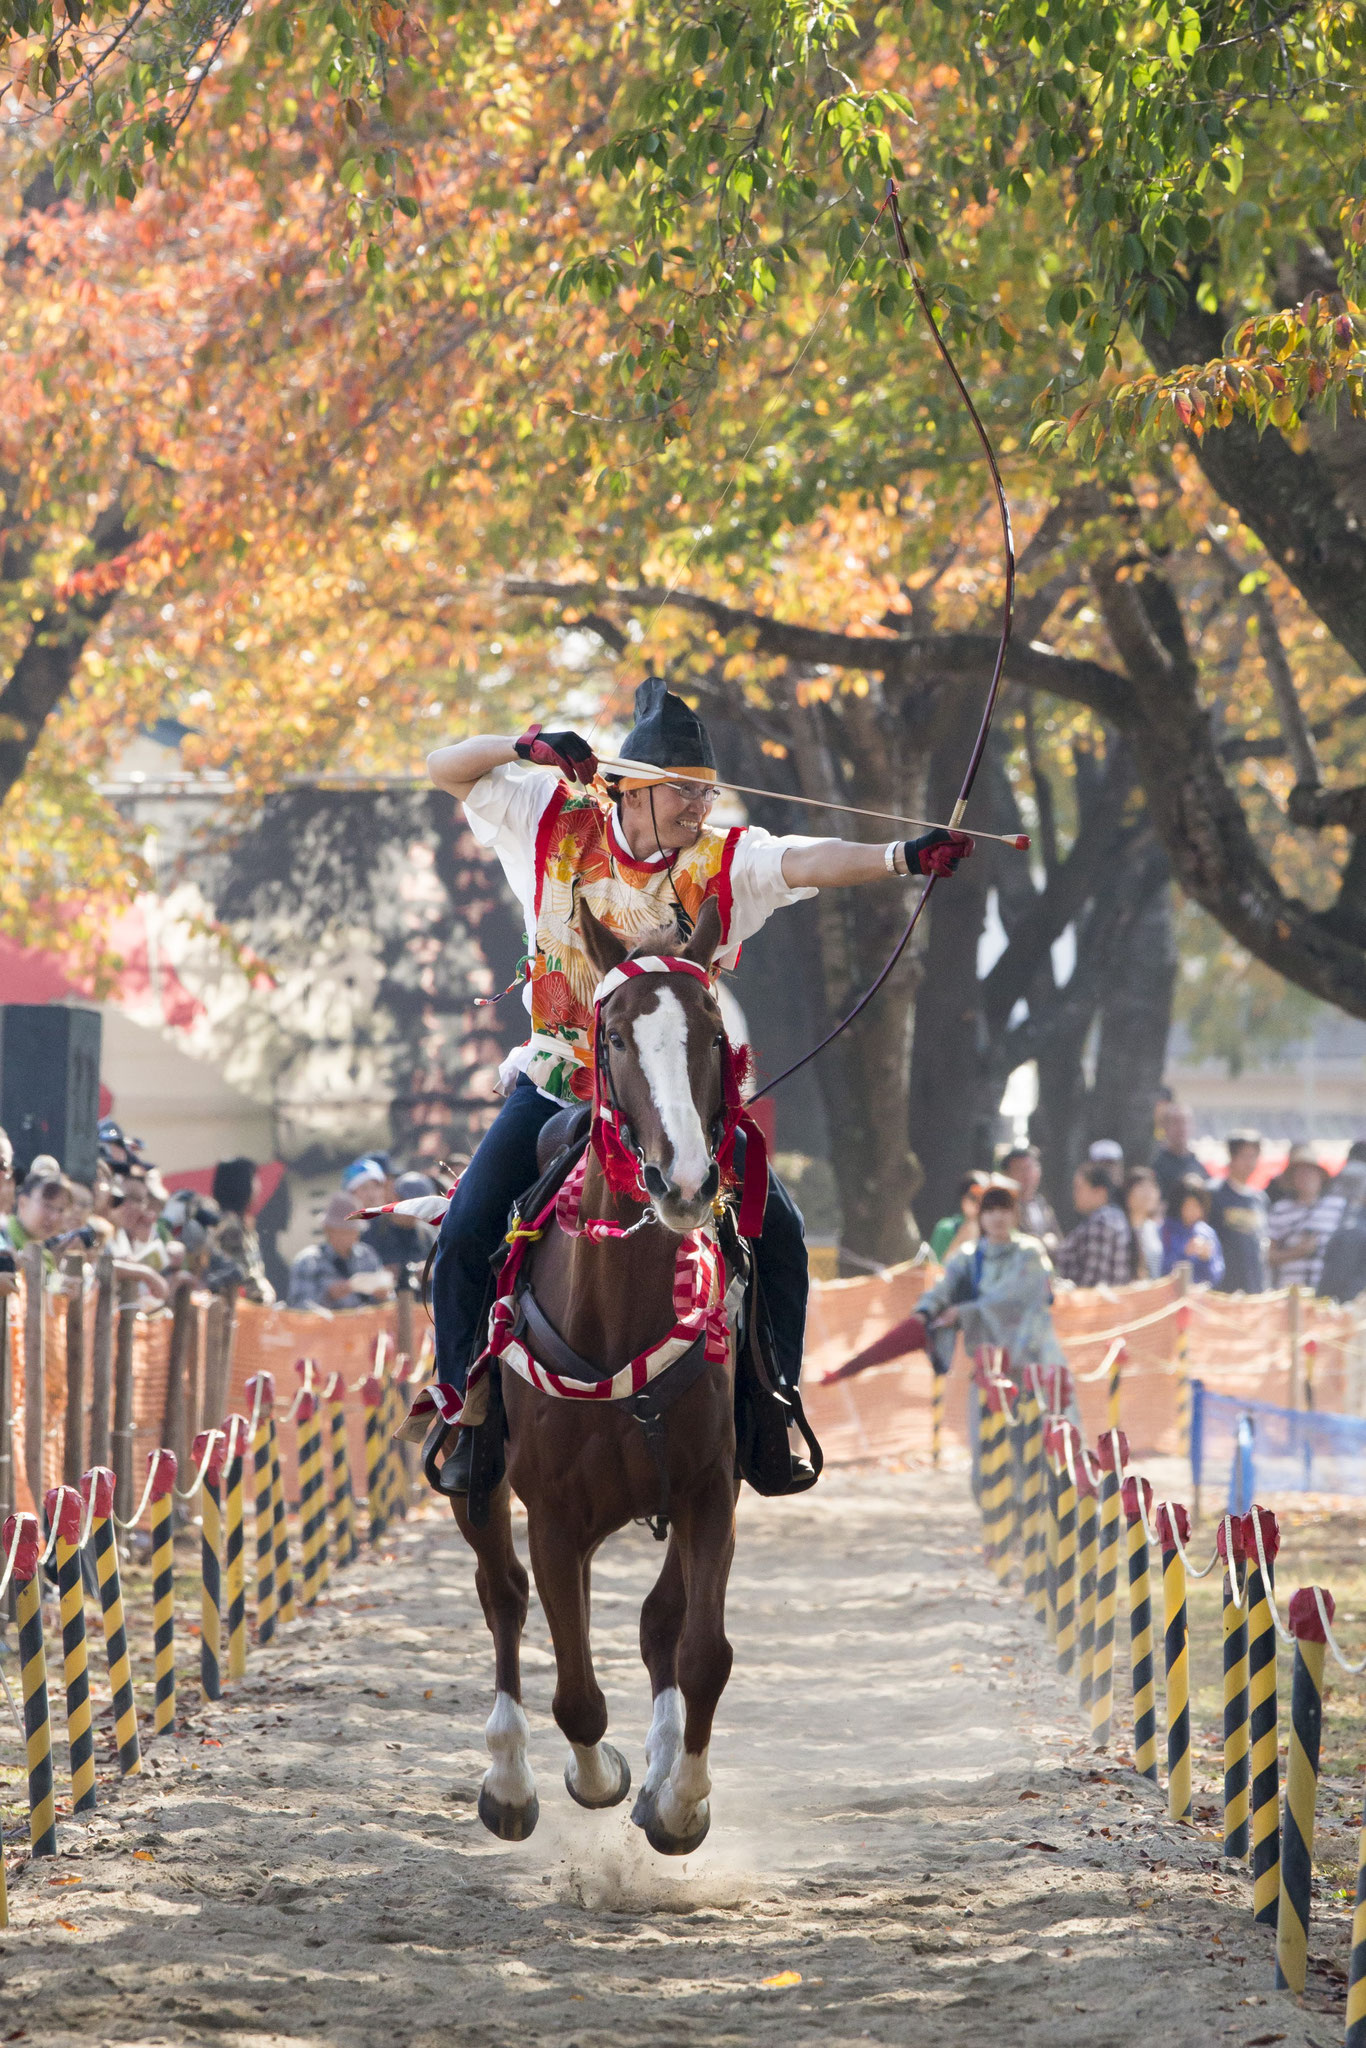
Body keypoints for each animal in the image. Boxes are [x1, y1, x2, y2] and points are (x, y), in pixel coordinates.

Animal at [450, 897, 749, 1859]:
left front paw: (677, 1799)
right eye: (613, 1036)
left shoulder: (707, 1490)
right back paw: (509, 1780)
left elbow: (698, 1651)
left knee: (655, 1626)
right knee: (503, 1598)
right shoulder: (551, 1512)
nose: (684, 1180)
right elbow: (576, 1691)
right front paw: (600, 1775)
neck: (617, 1313)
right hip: (479, 1480)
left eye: (713, 1035)